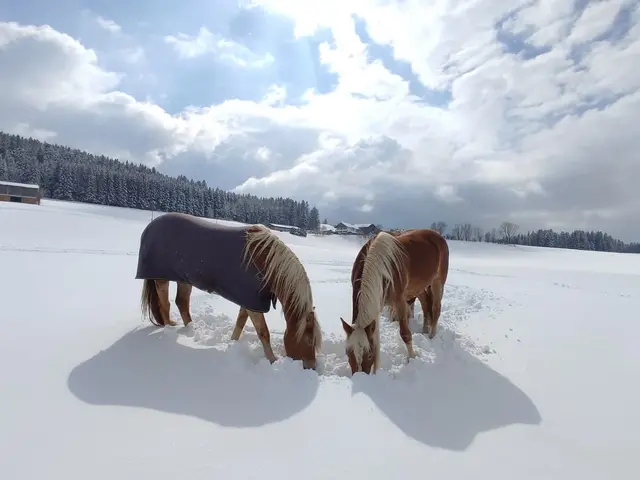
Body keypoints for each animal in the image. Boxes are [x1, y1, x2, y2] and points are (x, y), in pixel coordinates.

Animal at [135, 212, 322, 370]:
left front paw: (232, 344)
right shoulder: (253, 304)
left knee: (182, 303)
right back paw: (169, 328)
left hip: (184, 279)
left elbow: (240, 324)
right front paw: (272, 360)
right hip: (161, 277)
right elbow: (263, 333)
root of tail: (150, 226)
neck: (264, 261)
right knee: (165, 304)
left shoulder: (249, 301)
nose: (311, 367)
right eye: (309, 339)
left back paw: (191, 330)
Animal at [340, 228, 449, 374]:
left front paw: (412, 357)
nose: (359, 376)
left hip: (438, 282)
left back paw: (431, 335)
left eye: (369, 355)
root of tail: (437, 235)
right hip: (418, 287)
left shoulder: (399, 302)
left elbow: (405, 334)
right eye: (348, 353)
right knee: (426, 304)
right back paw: (425, 330)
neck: (380, 267)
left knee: (436, 308)